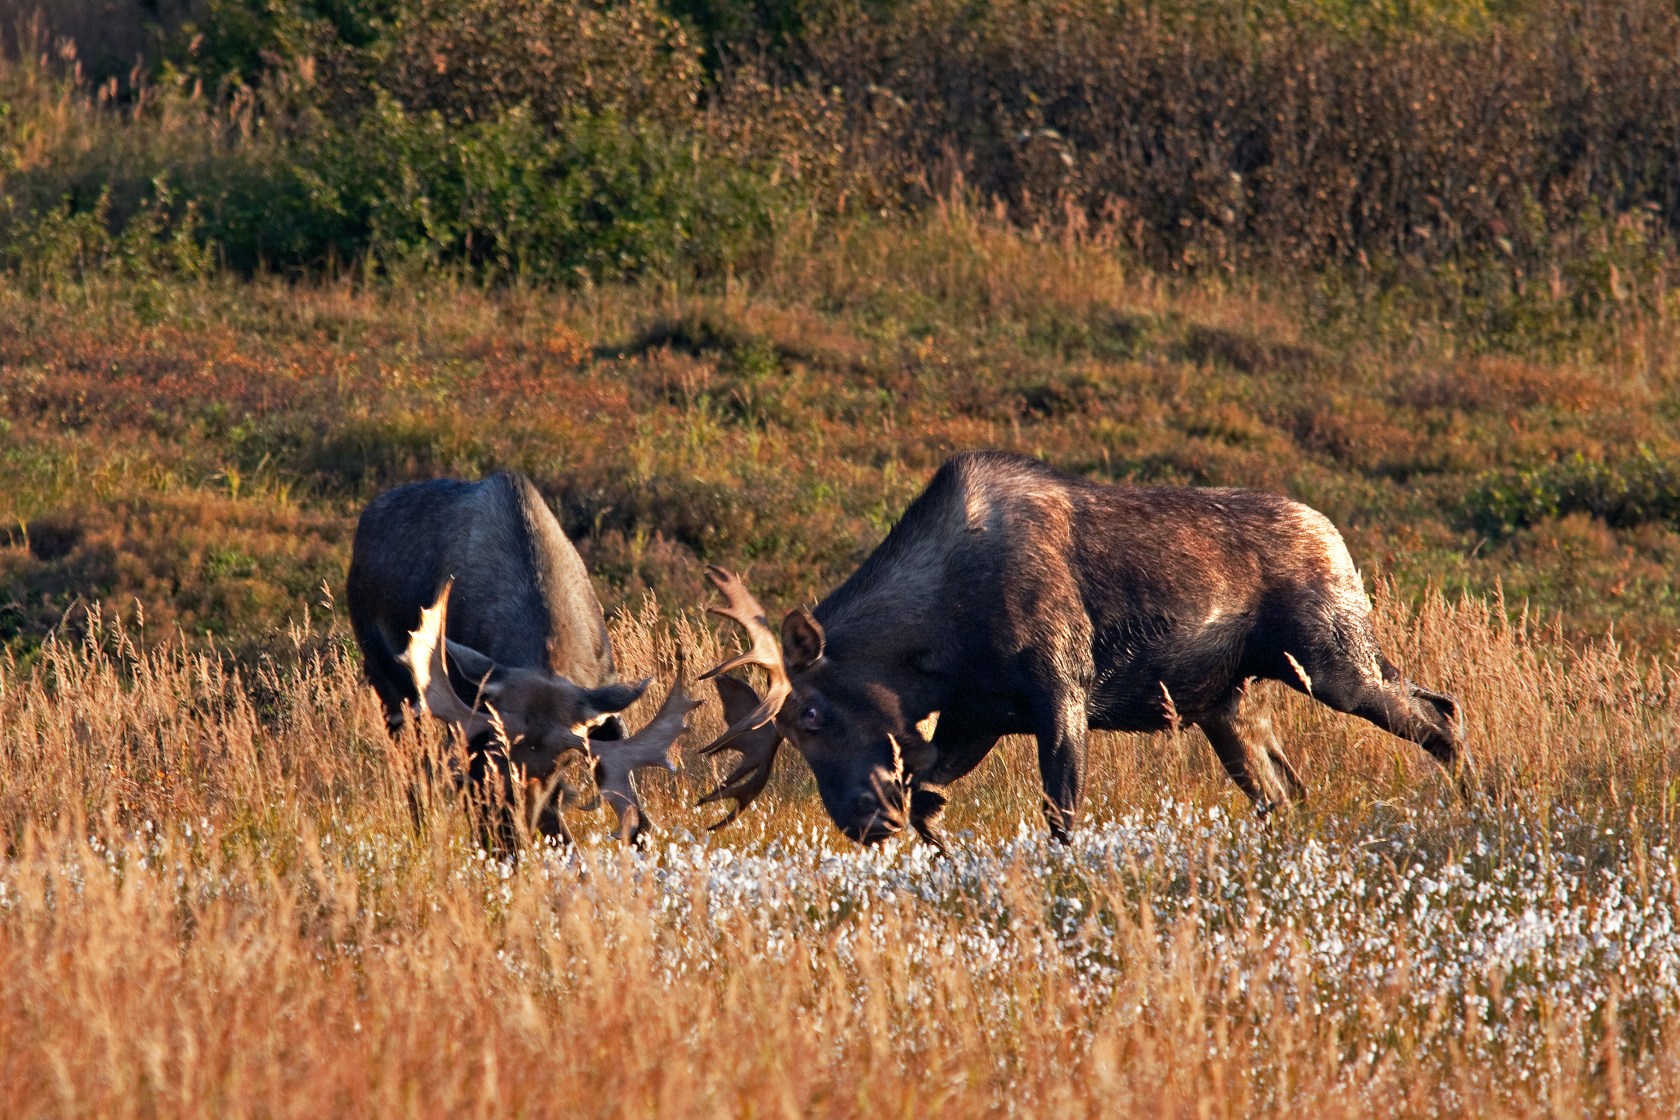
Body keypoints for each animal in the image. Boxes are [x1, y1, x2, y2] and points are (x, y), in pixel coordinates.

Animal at [694, 450, 1472, 850]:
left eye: (812, 713)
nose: (858, 819)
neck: (935, 646)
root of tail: (1337, 539)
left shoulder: (1060, 690)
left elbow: (1061, 817)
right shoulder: (978, 717)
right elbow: (928, 794)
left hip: (1334, 661)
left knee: (1441, 713)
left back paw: (1473, 806)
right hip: (1230, 704)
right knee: (1286, 790)